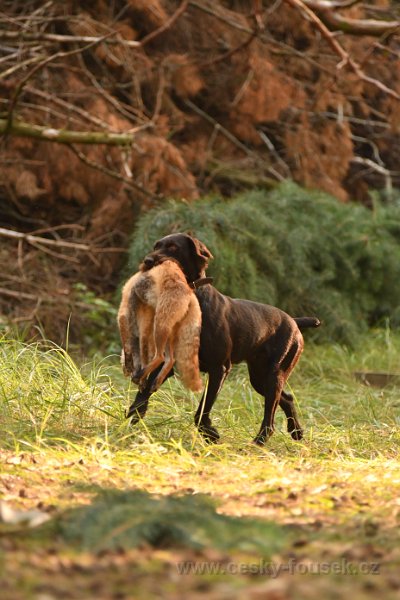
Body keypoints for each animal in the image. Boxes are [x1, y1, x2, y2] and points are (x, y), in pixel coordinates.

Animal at [117, 258, 202, 394]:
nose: (125, 373)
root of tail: (190, 293)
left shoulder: (125, 318)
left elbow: (129, 348)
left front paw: (136, 372)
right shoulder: (145, 330)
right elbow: (144, 356)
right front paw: (143, 381)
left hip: (160, 325)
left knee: (160, 357)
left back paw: (140, 375)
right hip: (168, 332)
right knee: (170, 359)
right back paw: (155, 381)